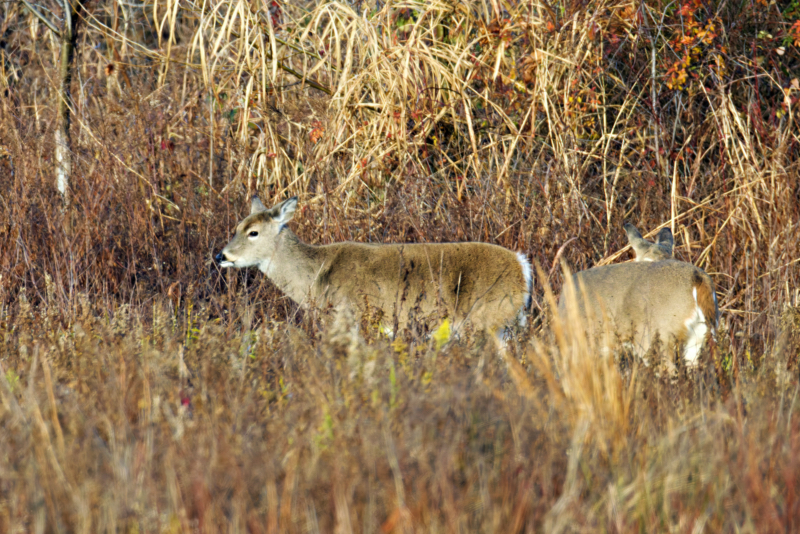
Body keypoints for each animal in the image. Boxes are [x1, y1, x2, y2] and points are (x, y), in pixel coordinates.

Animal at [212, 197, 532, 338]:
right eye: (237, 226)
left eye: (253, 232)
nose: (220, 255)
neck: (315, 277)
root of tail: (522, 267)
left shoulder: (346, 318)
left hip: (483, 319)